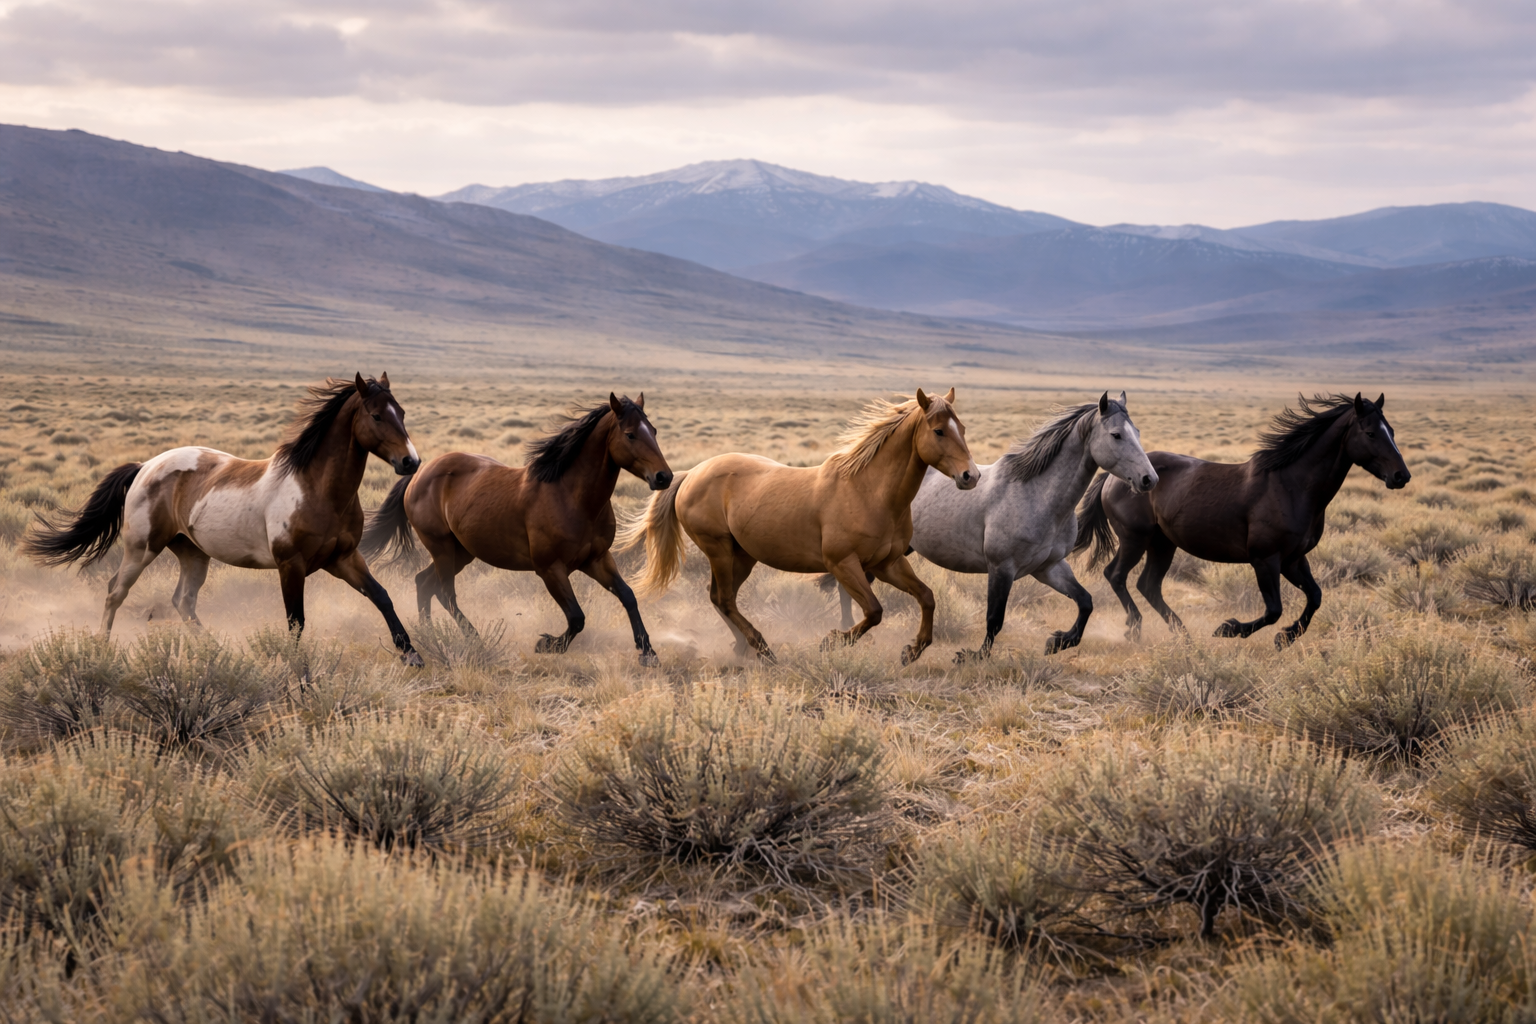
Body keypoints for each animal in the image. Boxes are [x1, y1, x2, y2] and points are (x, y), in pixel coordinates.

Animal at [25, 374, 424, 664]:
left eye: (403, 413)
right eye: (376, 415)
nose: (411, 462)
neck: (316, 488)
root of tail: (145, 466)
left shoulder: (343, 558)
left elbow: (381, 596)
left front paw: (411, 655)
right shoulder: (291, 565)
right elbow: (296, 622)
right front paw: (301, 676)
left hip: (193, 553)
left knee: (183, 602)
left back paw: (217, 652)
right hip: (142, 549)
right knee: (115, 593)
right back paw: (101, 650)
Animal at [360, 393, 673, 665]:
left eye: (654, 431)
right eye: (631, 434)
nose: (664, 477)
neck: (572, 497)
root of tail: (418, 474)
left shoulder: (597, 560)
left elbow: (628, 596)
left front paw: (648, 653)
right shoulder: (550, 569)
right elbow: (576, 617)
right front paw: (547, 644)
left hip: (461, 552)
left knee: (424, 583)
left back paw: (430, 635)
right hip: (441, 548)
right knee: (445, 593)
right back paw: (471, 640)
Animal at [617, 388, 980, 666]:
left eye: (962, 427)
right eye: (939, 431)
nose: (971, 476)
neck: (869, 491)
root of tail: (691, 473)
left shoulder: (888, 563)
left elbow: (927, 597)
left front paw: (912, 651)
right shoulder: (843, 563)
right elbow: (874, 611)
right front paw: (832, 642)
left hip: (742, 555)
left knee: (720, 597)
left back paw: (743, 647)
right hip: (718, 549)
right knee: (725, 599)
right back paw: (763, 649)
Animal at [893, 391, 1158, 661]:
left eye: (1137, 432)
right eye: (1116, 435)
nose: (1149, 479)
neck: (1037, 496)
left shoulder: (1049, 567)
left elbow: (1085, 601)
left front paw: (1058, 641)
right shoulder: (1001, 568)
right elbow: (994, 619)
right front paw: (971, 656)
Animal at [1074, 392, 1411, 648]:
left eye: (1392, 431)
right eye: (1370, 433)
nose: (1401, 476)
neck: (1292, 486)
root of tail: (1112, 477)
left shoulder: (1294, 559)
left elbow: (1315, 597)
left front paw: (1286, 637)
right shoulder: (1266, 559)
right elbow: (1274, 609)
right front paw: (1229, 628)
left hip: (1162, 543)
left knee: (1148, 585)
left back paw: (1183, 635)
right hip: (1136, 539)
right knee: (1116, 575)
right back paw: (1135, 628)